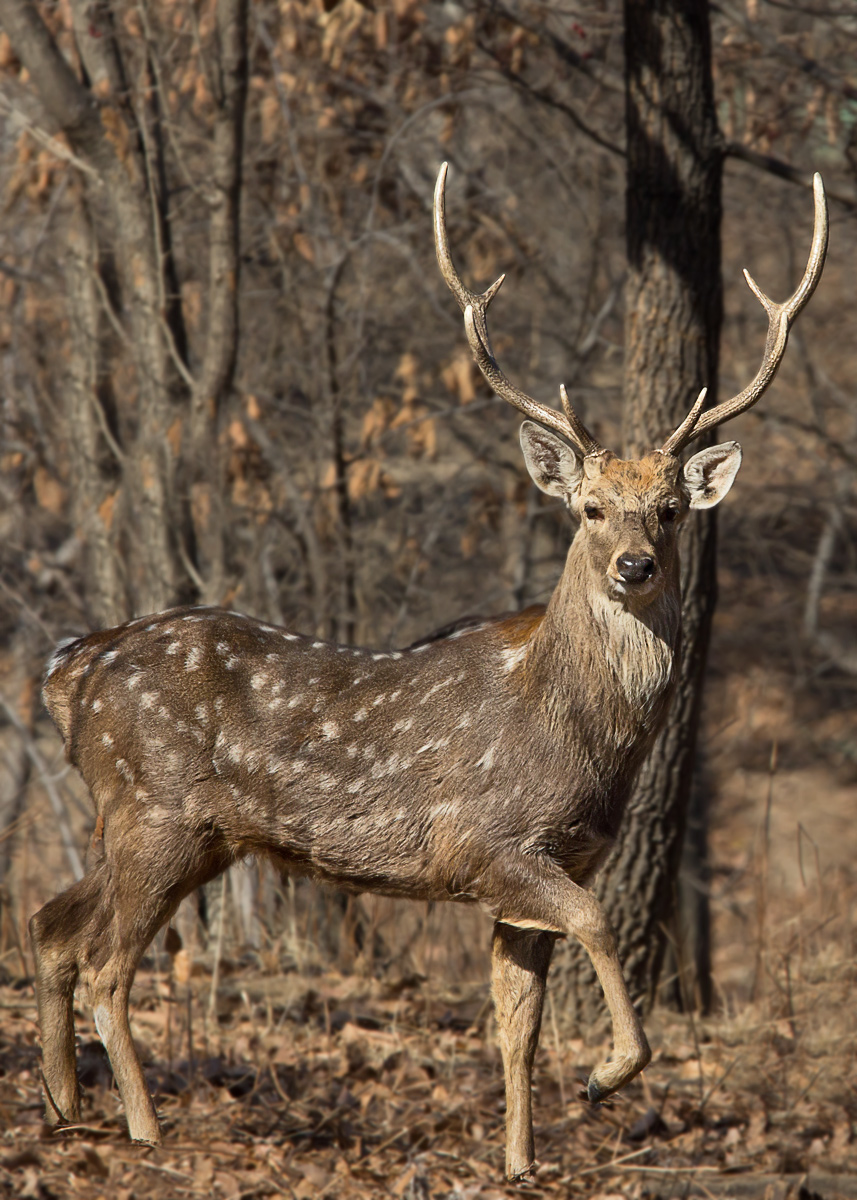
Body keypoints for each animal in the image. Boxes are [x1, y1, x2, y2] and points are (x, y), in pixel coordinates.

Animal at [30, 164, 827, 1181]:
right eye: (590, 507)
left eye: (670, 509)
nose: (634, 566)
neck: (579, 735)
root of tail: (68, 669)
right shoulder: (487, 841)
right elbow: (597, 922)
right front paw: (607, 1074)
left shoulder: (548, 864)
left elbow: (516, 1024)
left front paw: (521, 1163)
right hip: (154, 810)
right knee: (104, 963)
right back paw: (143, 1132)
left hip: (169, 829)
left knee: (53, 925)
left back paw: (65, 1111)